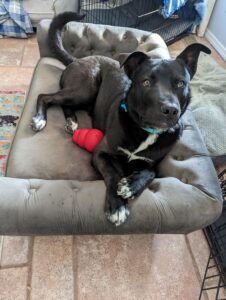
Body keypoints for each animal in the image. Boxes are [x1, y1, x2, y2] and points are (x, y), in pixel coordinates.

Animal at [31, 12, 210, 226]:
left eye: (181, 83)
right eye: (146, 82)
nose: (170, 110)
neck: (145, 131)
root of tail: (77, 59)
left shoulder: (154, 164)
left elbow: (151, 172)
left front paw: (131, 186)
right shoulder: (100, 153)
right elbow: (114, 173)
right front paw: (117, 206)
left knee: (65, 104)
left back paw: (72, 121)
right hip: (85, 89)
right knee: (45, 96)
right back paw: (40, 119)